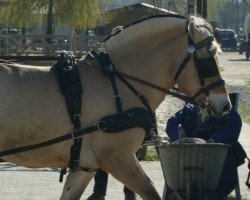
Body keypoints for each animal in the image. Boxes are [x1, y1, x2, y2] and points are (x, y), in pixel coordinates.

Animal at [0, 14, 230, 199]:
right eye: (209, 57)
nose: (225, 104)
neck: (118, 81)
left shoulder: (85, 167)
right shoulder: (118, 159)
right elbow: (151, 192)